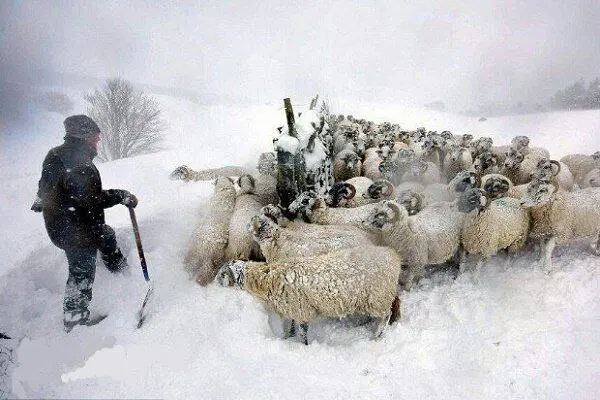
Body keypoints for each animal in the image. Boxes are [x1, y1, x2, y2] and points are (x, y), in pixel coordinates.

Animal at [216, 247, 404, 344]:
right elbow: (293, 325)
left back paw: (377, 336)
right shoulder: (294, 309)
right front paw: (288, 336)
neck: (267, 279)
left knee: (386, 315)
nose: (215, 283)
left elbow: (303, 332)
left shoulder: (302, 309)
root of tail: (394, 257)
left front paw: (303, 345)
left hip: (377, 297)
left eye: (223, 273)